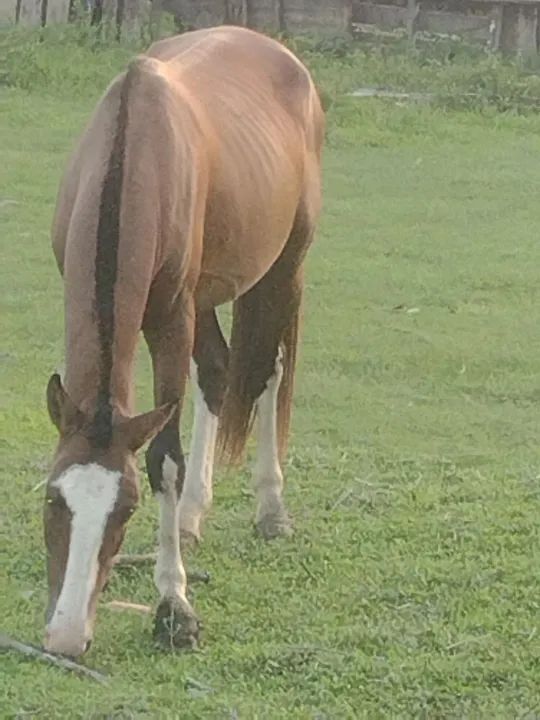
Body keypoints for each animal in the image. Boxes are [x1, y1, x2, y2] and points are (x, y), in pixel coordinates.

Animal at [44, 25, 324, 657]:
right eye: (54, 498)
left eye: (125, 509)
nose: (67, 636)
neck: (137, 152)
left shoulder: (171, 318)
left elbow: (163, 458)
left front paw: (174, 605)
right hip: (205, 298)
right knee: (218, 373)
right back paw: (193, 515)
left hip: (282, 270)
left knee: (267, 369)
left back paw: (271, 508)